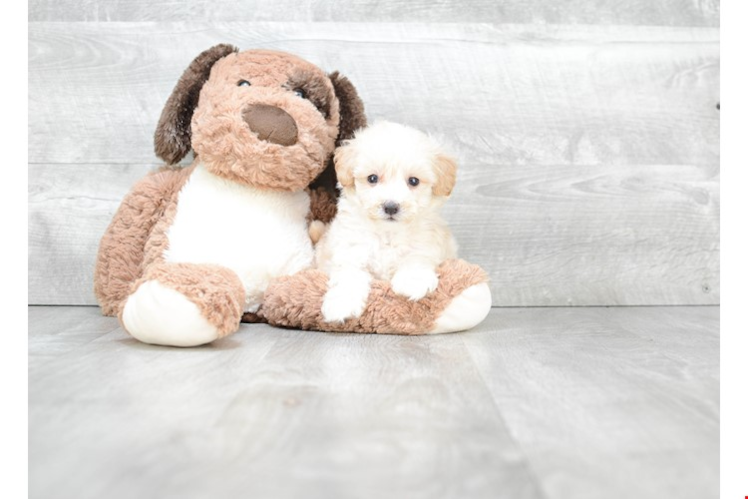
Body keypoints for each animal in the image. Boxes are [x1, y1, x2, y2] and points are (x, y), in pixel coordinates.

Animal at [314, 121, 456, 324]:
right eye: (372, 178)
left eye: (414, 181)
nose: (390, 207)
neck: (387, 233)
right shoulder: (351, 252)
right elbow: (349, 276)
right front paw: (342, 304)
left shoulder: (426, 242)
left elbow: (417, 257)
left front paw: (412, 281)